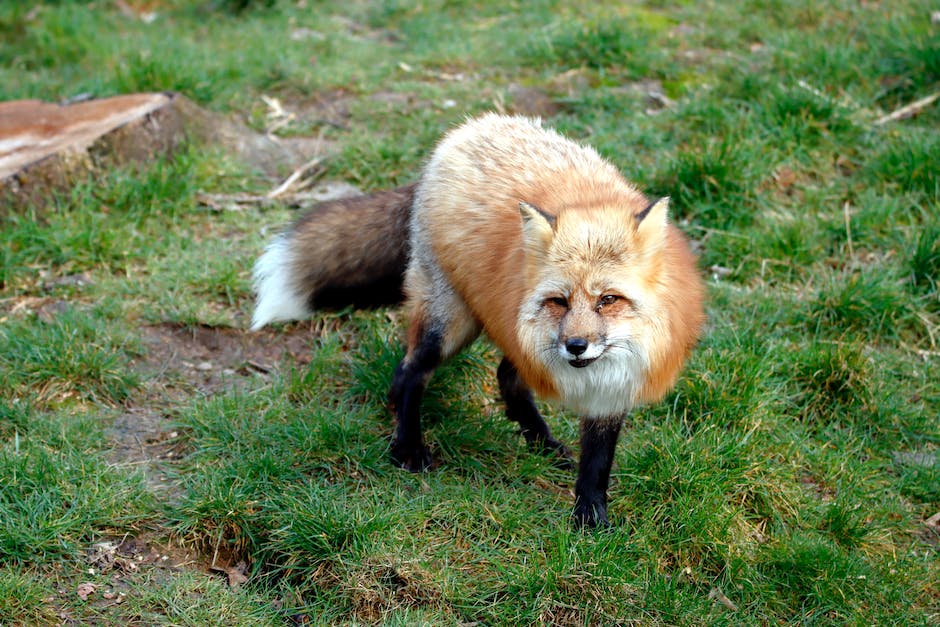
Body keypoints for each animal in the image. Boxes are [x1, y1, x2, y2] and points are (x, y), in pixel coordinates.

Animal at [252, 114, 704, 528]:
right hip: (451, 323)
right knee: (410, 372)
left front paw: (591, 519)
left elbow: (596, 461)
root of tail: (462, 132)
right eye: (559, 301)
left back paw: (539, 443)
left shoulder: (616, 383)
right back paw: (408, 447)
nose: (575, 346)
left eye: (608, 300)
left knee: (501, 376)